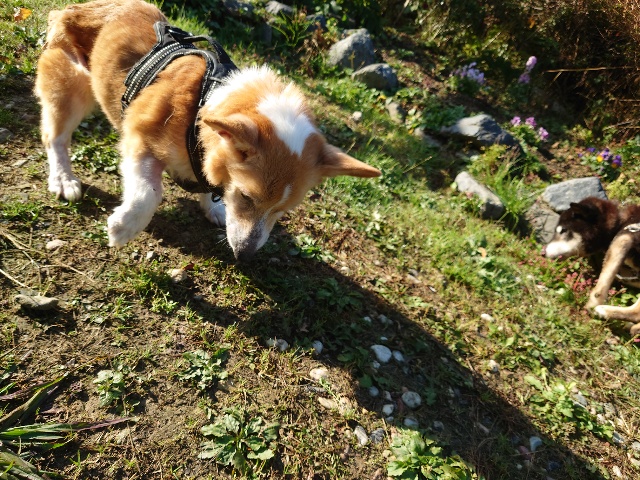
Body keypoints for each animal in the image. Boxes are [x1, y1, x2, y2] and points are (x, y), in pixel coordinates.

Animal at [34, 0, 381, 261]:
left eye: (283, 211)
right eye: (246, 197)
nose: (244, 256)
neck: (205, 101)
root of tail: (76, 8)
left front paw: (214, 207)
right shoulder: (140, 139)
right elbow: (149, 193)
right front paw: (124, 228)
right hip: (70, 88)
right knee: (55, 138)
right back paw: (63, 179)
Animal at [543, 196, 640, 333]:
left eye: (563, 230)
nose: (543, 252)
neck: (619, 222)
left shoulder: (623, 238)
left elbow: (602, 283)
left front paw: (592, 305)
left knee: (636, 312)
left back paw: (604, 311)